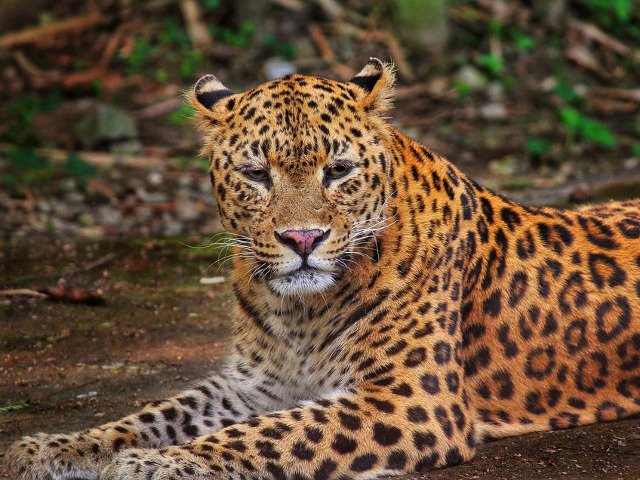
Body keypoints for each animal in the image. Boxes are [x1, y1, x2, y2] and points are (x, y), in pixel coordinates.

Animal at [7, 58, 640, 480]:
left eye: (338, 170)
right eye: (256, 174)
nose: (303, 239)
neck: (300, 312)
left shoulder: (412, 398)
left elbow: (275, 433)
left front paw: (157, 464)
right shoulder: (253, 384)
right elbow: (155, 412)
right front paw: (50, 449)